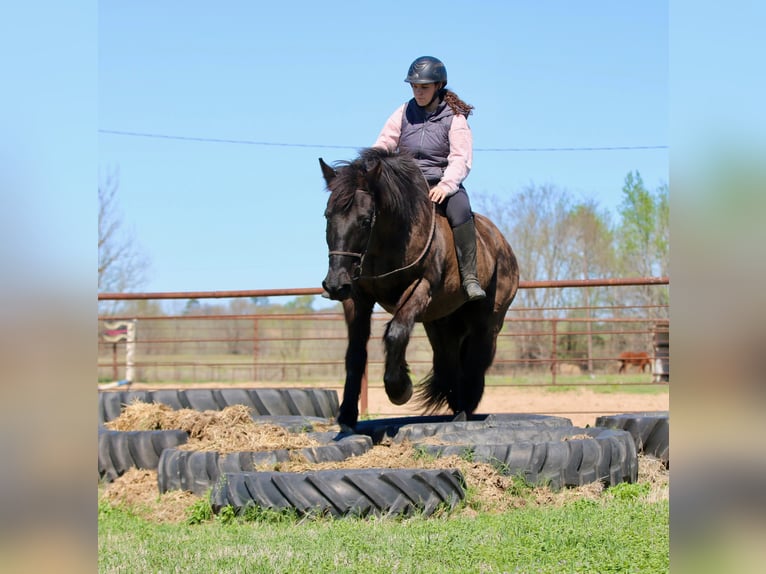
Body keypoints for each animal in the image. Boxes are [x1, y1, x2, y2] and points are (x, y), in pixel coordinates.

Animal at [320, 147, 520, 432]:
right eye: (328, 216)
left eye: (365, 220)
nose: (336, 284)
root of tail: (502, 244)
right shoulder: (358, 299)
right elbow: (355, 354)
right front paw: (347, 417)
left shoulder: (420, 288)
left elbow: (396, 332)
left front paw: (400, 388)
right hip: (441, 325)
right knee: (449, 363)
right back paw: (457, 411)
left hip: (487, 322)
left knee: (474, 363)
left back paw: (464, 410)